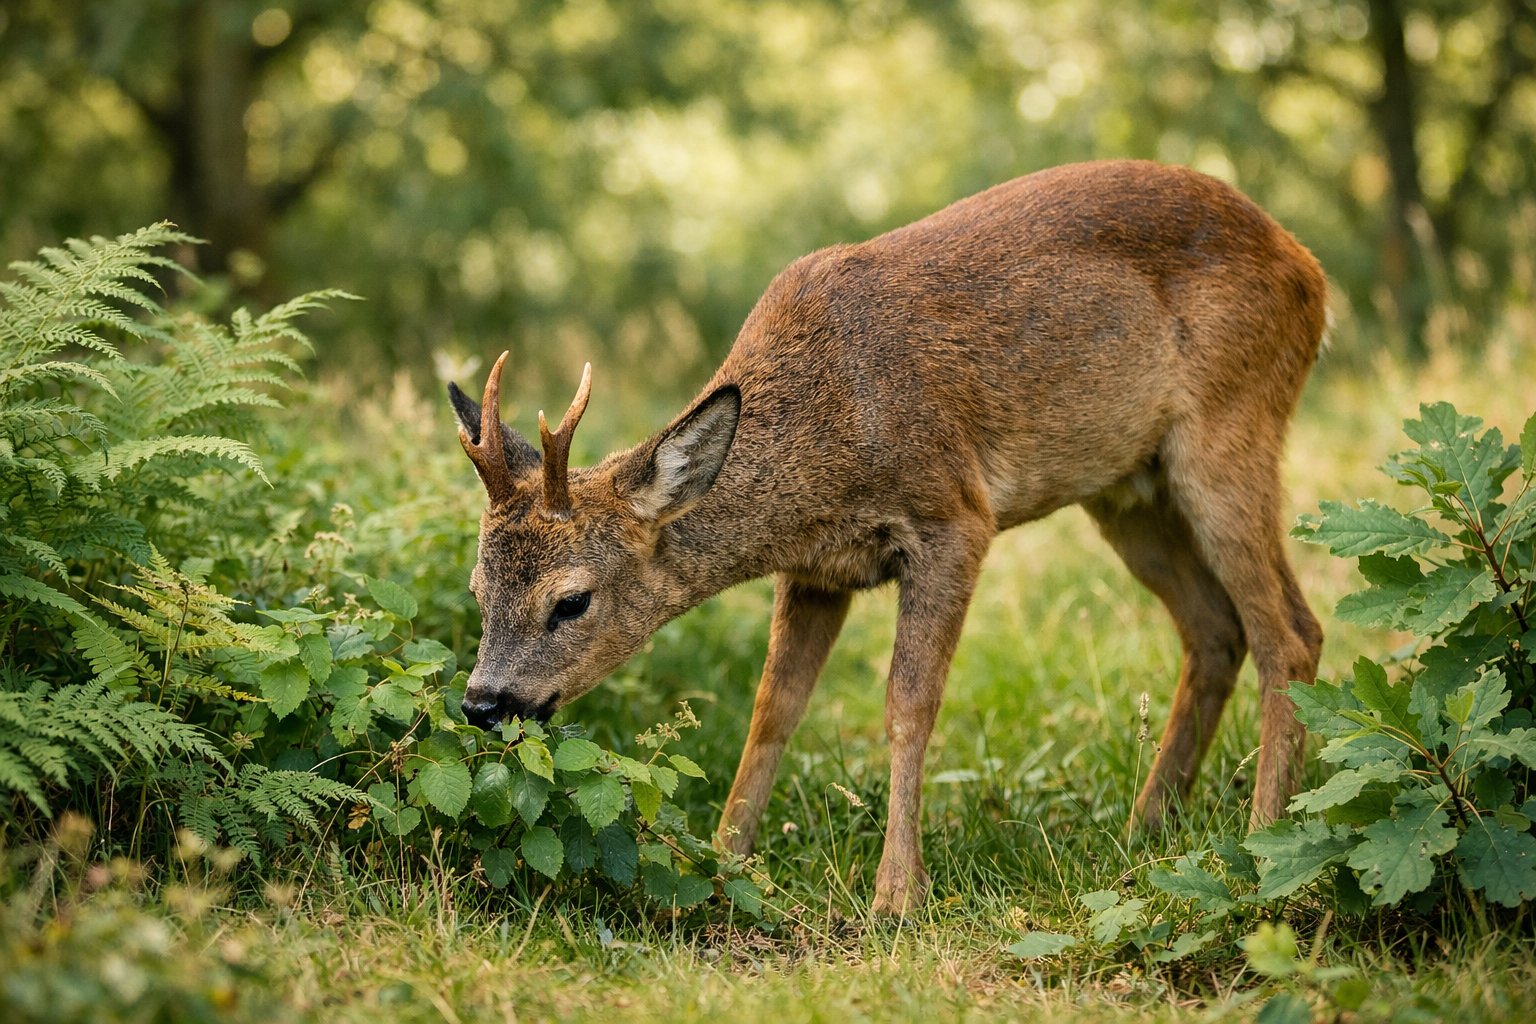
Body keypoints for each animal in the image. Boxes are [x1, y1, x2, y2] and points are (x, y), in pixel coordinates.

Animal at [446, 160, 1327, 914]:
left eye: (572, 601)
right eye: (479, 588)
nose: (484, 702)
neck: (827, 434)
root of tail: (1310, 271)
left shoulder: (954, 517)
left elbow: (909, 702)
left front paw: (897, 896)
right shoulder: (815, 571)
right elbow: (773, 708)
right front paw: (724, 860)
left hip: (1231, 426)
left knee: (1291, 631)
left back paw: (1261, 842)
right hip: (1126, 490)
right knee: (1216, 629)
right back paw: (1148, 827)